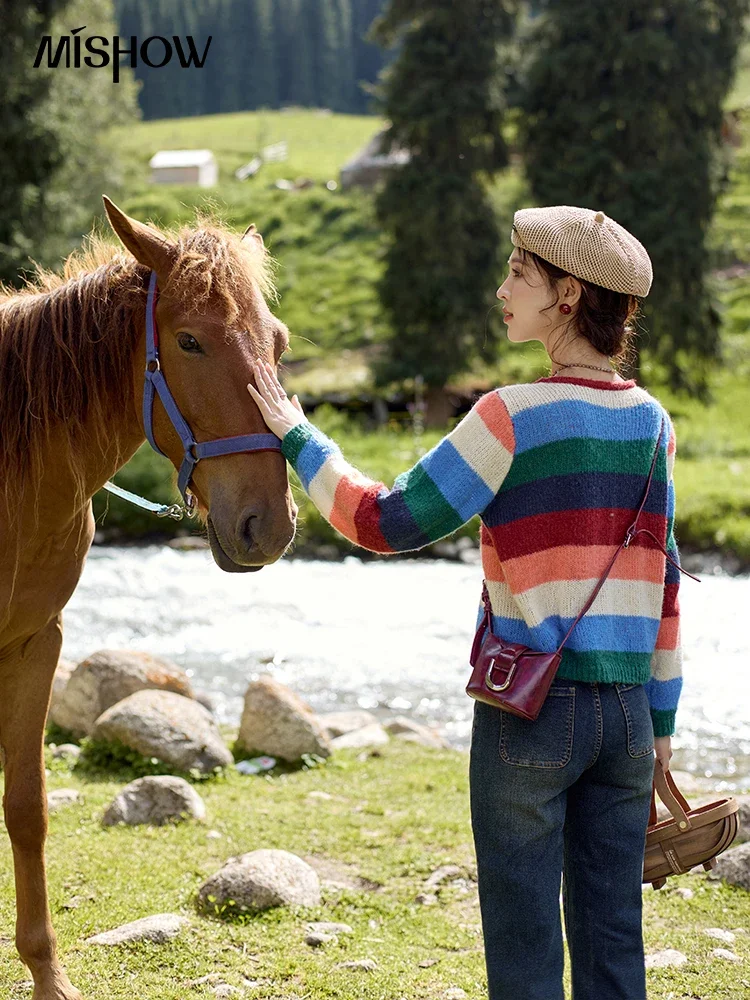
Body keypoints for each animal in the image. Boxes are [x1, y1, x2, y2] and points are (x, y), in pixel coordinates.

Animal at [0, 197, 300, 1000]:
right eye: (189, 341)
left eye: (278, 343)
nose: (269, 525)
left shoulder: (36, 642)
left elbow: (27, 807)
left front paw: (47, 974)